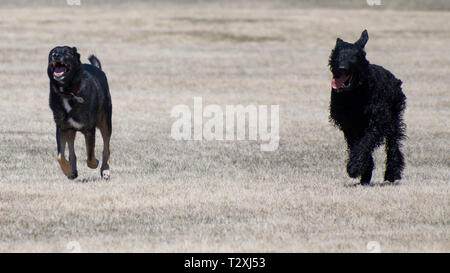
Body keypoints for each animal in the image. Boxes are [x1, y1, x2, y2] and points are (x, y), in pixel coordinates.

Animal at [47, 45, 111, 180]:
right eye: (52, 53)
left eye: (67, 52)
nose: (56, 55)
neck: (69, 92)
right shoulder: (62, 128)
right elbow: (60, 156)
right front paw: (68, 171)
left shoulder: (89, 130)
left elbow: (90, 156)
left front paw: (95, 163)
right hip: (70, 131)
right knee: (71, 151)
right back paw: (73, 170)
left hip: (106, 122)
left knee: (106, 148)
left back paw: (105, 170)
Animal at [328, 29, 406, 184]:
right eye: (337, 54)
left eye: (354, 56)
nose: (341, 68)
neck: (354, 94)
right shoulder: (349, 126)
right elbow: (358, 146)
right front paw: (363, 169)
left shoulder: (376, 122)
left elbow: (365, 143)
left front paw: (354, 167)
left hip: (393, 119)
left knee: (393, 145)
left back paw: (392, 173)